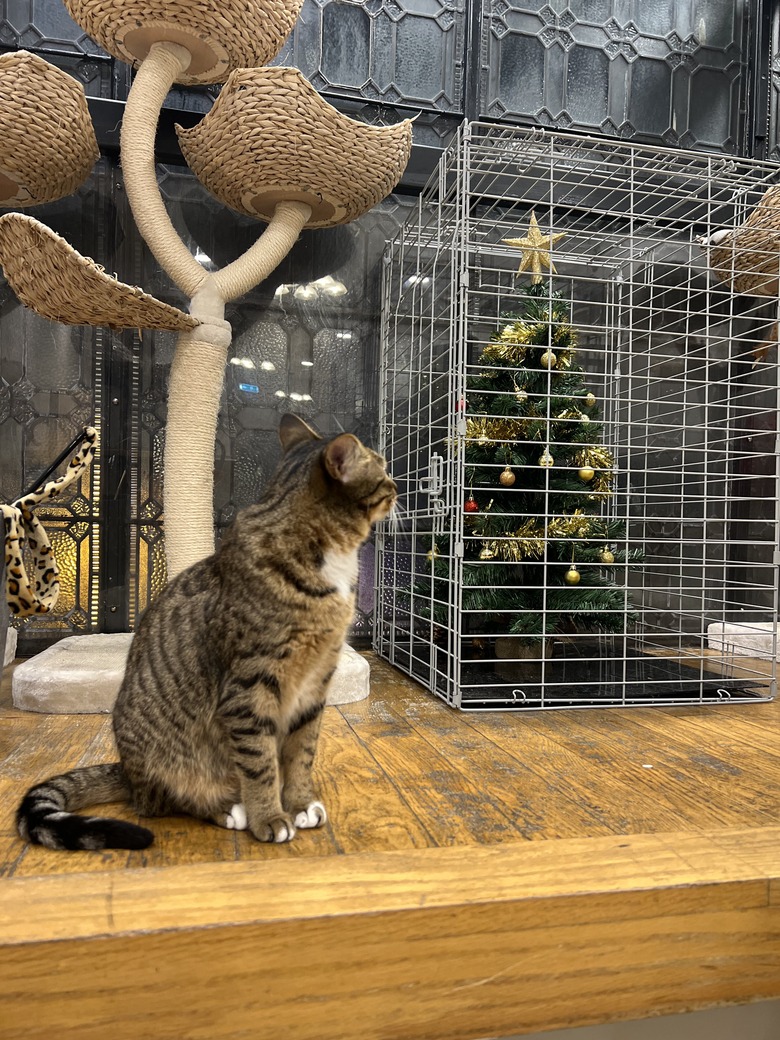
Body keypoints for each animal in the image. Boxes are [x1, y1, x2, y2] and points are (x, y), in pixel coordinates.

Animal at [16, 413, 397, 852]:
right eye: (383, 467)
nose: (398, 484)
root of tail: (126, 772)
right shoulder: (249, 688)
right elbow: (261, 763)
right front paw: (270, 817)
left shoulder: (315, 685)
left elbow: (301, 754)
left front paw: (300, 804)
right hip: (165, 765)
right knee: (163, 801)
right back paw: (227, 809)